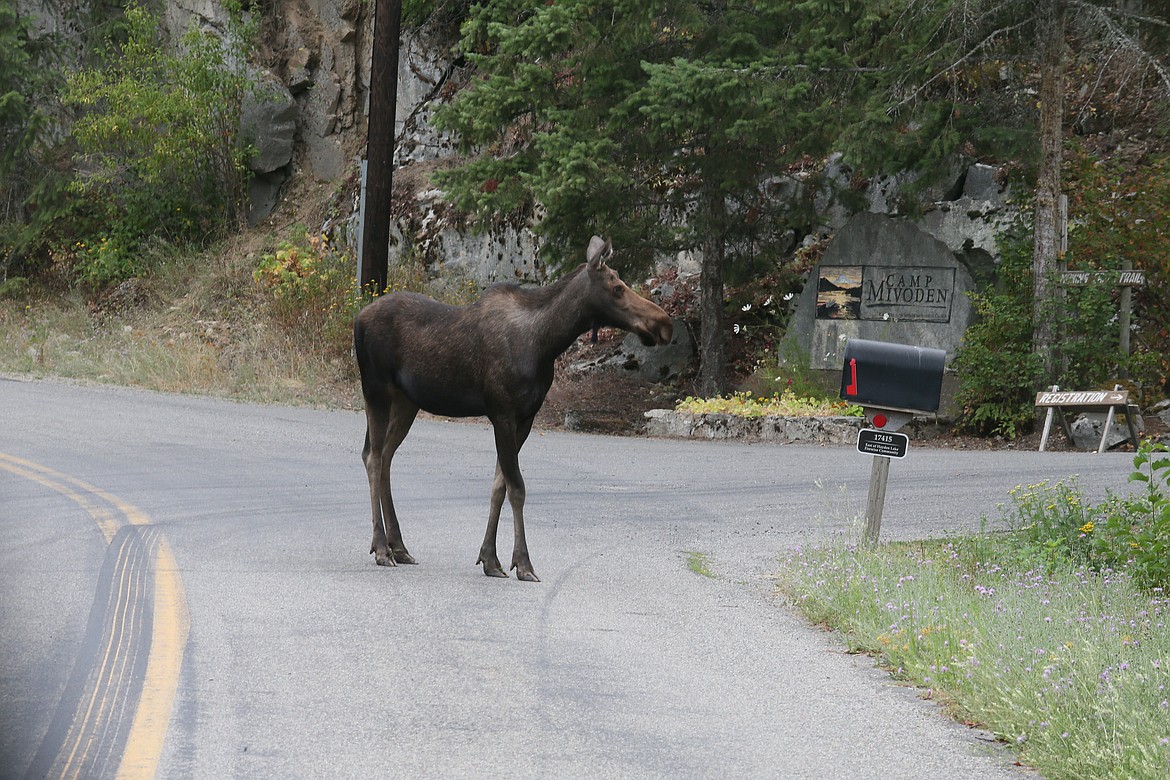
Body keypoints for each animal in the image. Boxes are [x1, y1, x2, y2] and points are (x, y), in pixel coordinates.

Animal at [351, 235, 673, 582]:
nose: (664, 323)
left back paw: (398, 546)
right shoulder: (502, 414)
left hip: (407, 400)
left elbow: (499, 485)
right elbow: (516, 487)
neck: (546, 343)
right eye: (616, 287)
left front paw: (490, 558)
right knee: (372, 457)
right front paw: (523, 562)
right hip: (376, 389)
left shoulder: (526, 418)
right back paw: (382, 549)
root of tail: (358, 319)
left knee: (385, 456)